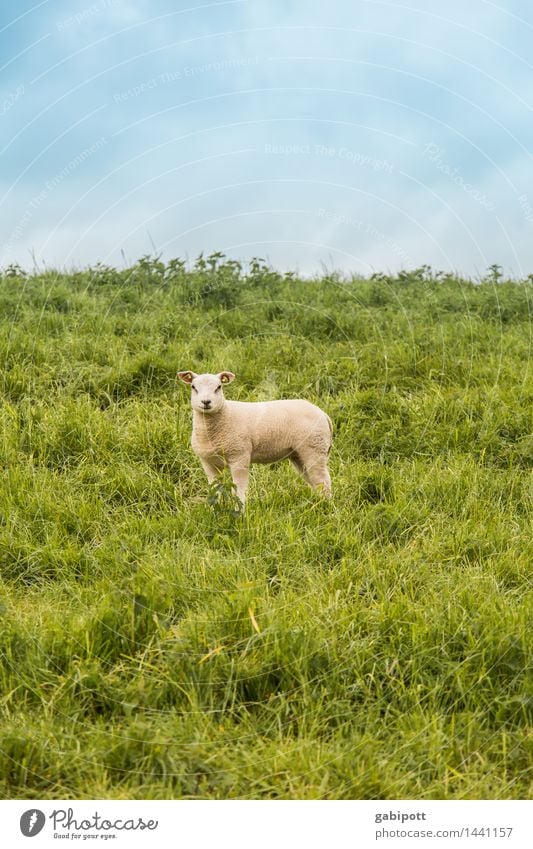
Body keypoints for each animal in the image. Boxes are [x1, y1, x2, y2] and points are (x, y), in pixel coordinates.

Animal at [177, 370, 330, 504]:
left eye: (218, 387)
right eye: (193, 387)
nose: (206, 402)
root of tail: (322, 413)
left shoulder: (239, 456)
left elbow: (239, 489)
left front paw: (240, 512)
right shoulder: (208, 462)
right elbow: (215, 489)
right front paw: (215, 510)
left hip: (314, 448)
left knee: (323, 480)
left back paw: (325, 506)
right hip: (298, 454)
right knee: (314, 480)